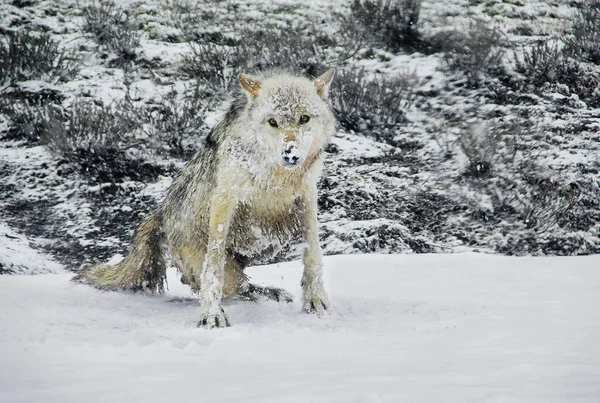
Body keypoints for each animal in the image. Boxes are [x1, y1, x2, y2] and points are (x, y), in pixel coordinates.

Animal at [74, 69, 338, 328]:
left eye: (304, 118)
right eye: (272, 121)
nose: (290, 154)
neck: (275, 176)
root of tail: (160, 214)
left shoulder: (307, 196)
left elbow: (313, 253)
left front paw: (315, 300)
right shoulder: (224, 199)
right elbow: (213, 266)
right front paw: (212, 314)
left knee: (243, 286)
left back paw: (274, 294)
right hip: (221, 268)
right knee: (233, 286)